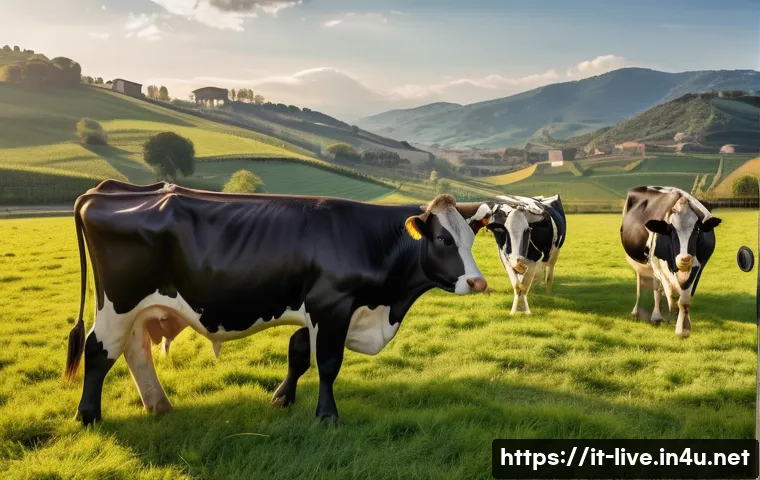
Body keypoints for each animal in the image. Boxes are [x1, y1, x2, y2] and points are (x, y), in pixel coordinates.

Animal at [64, 181, 488, 426]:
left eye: (470, 238)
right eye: (443, 240)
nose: (478, 281)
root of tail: (104, 190)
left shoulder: (318, 310)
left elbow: (298, 351)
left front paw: (282, 398)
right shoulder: (331, 305)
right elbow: (328, 364)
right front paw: (327, 416)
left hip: (135, 310)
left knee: (134, 351)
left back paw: (158, 405)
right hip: (119, 303)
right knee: (98, 351)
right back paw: (88, 415)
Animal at [620, 186, 721, 338]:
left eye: (697, 230)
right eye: (671, 230)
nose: (684, 259)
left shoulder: (698, 267)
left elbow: (685, 299)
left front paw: (683, 327)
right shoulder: (658, 264)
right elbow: (671, 295)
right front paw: (666, 317)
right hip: (640, 263)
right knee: (646, 284)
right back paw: (644, 313)